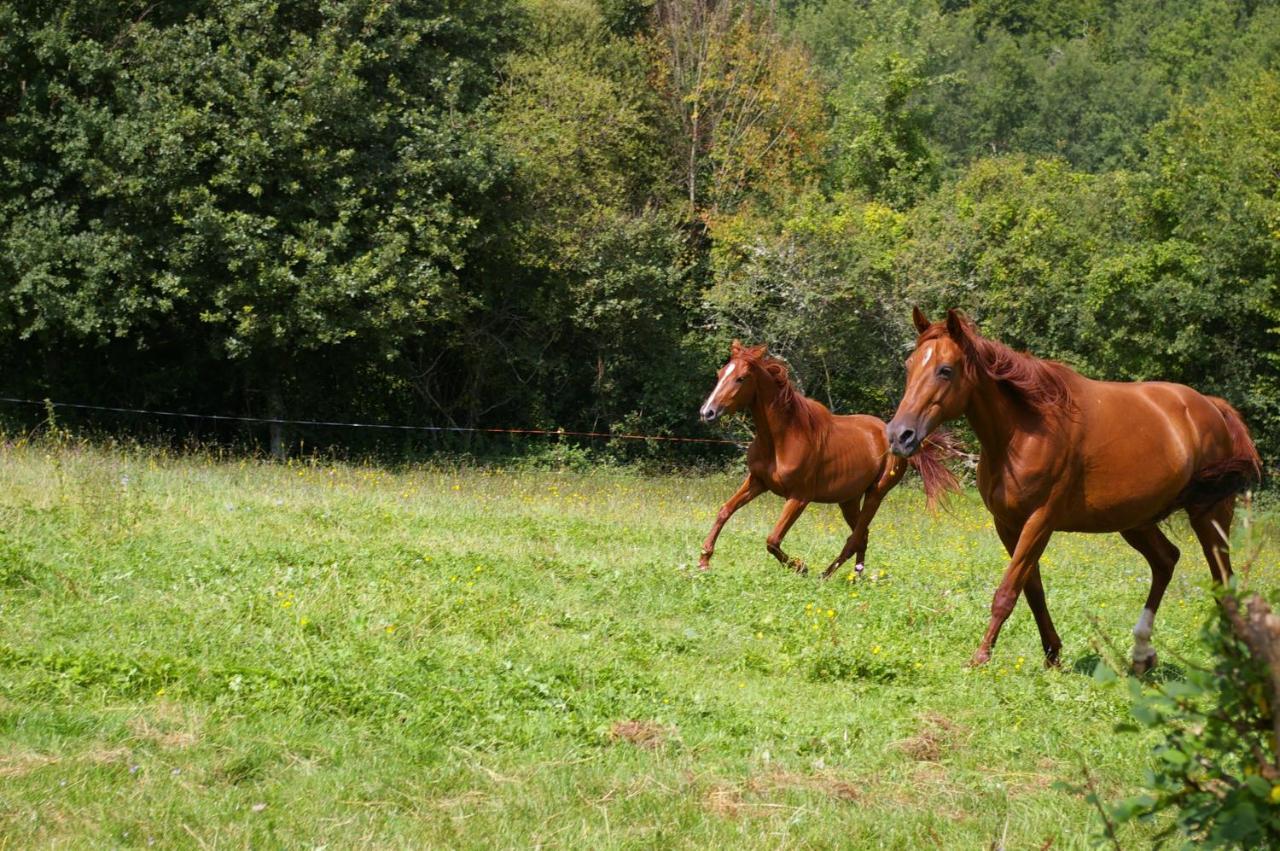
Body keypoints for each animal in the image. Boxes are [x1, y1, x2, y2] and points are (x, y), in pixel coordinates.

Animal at [696, 337, 957, 578]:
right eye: (720, 374)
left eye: (740, 378)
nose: (707, 412)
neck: (782, 439)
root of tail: (896, 439)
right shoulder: (758, 481)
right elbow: (724, 511)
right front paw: (704, 561)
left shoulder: (799, 497)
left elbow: (772, 539)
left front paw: (801, 567)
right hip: (849, 499)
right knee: (862, 536)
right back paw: (855, 577)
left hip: (876, 493)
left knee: (856, 537)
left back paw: (826, 576)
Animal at [885, 305, 1264, 670]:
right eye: (909, 366)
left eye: (945, 370)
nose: (899, 435)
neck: (1024, 430)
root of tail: (1211, 406)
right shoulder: (1008, 524)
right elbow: (1032, 590)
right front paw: (1052, 655)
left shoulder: (1040, 521)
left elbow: (1007, 591)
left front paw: (980, 657)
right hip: (1136, 521)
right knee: (1166, 561)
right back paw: (1142, 656)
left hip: (1209, 515)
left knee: (1223, 580)